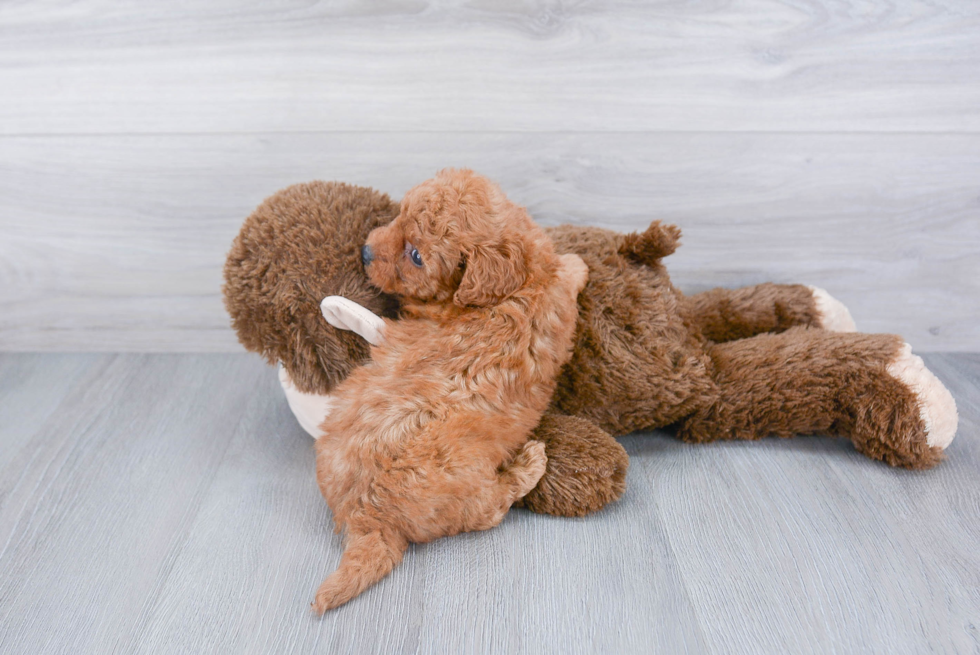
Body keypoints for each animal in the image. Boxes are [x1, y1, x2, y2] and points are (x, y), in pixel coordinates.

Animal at [310, 170, 584, 616]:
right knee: (492, 508)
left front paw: (574, 260)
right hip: (471, 487)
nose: (365, 252)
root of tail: (366, 517)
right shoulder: (553, 302)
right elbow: (565, 276)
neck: (509, 284)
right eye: (399, 215)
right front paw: (577, 262)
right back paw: (530, 463)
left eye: (416, 255)